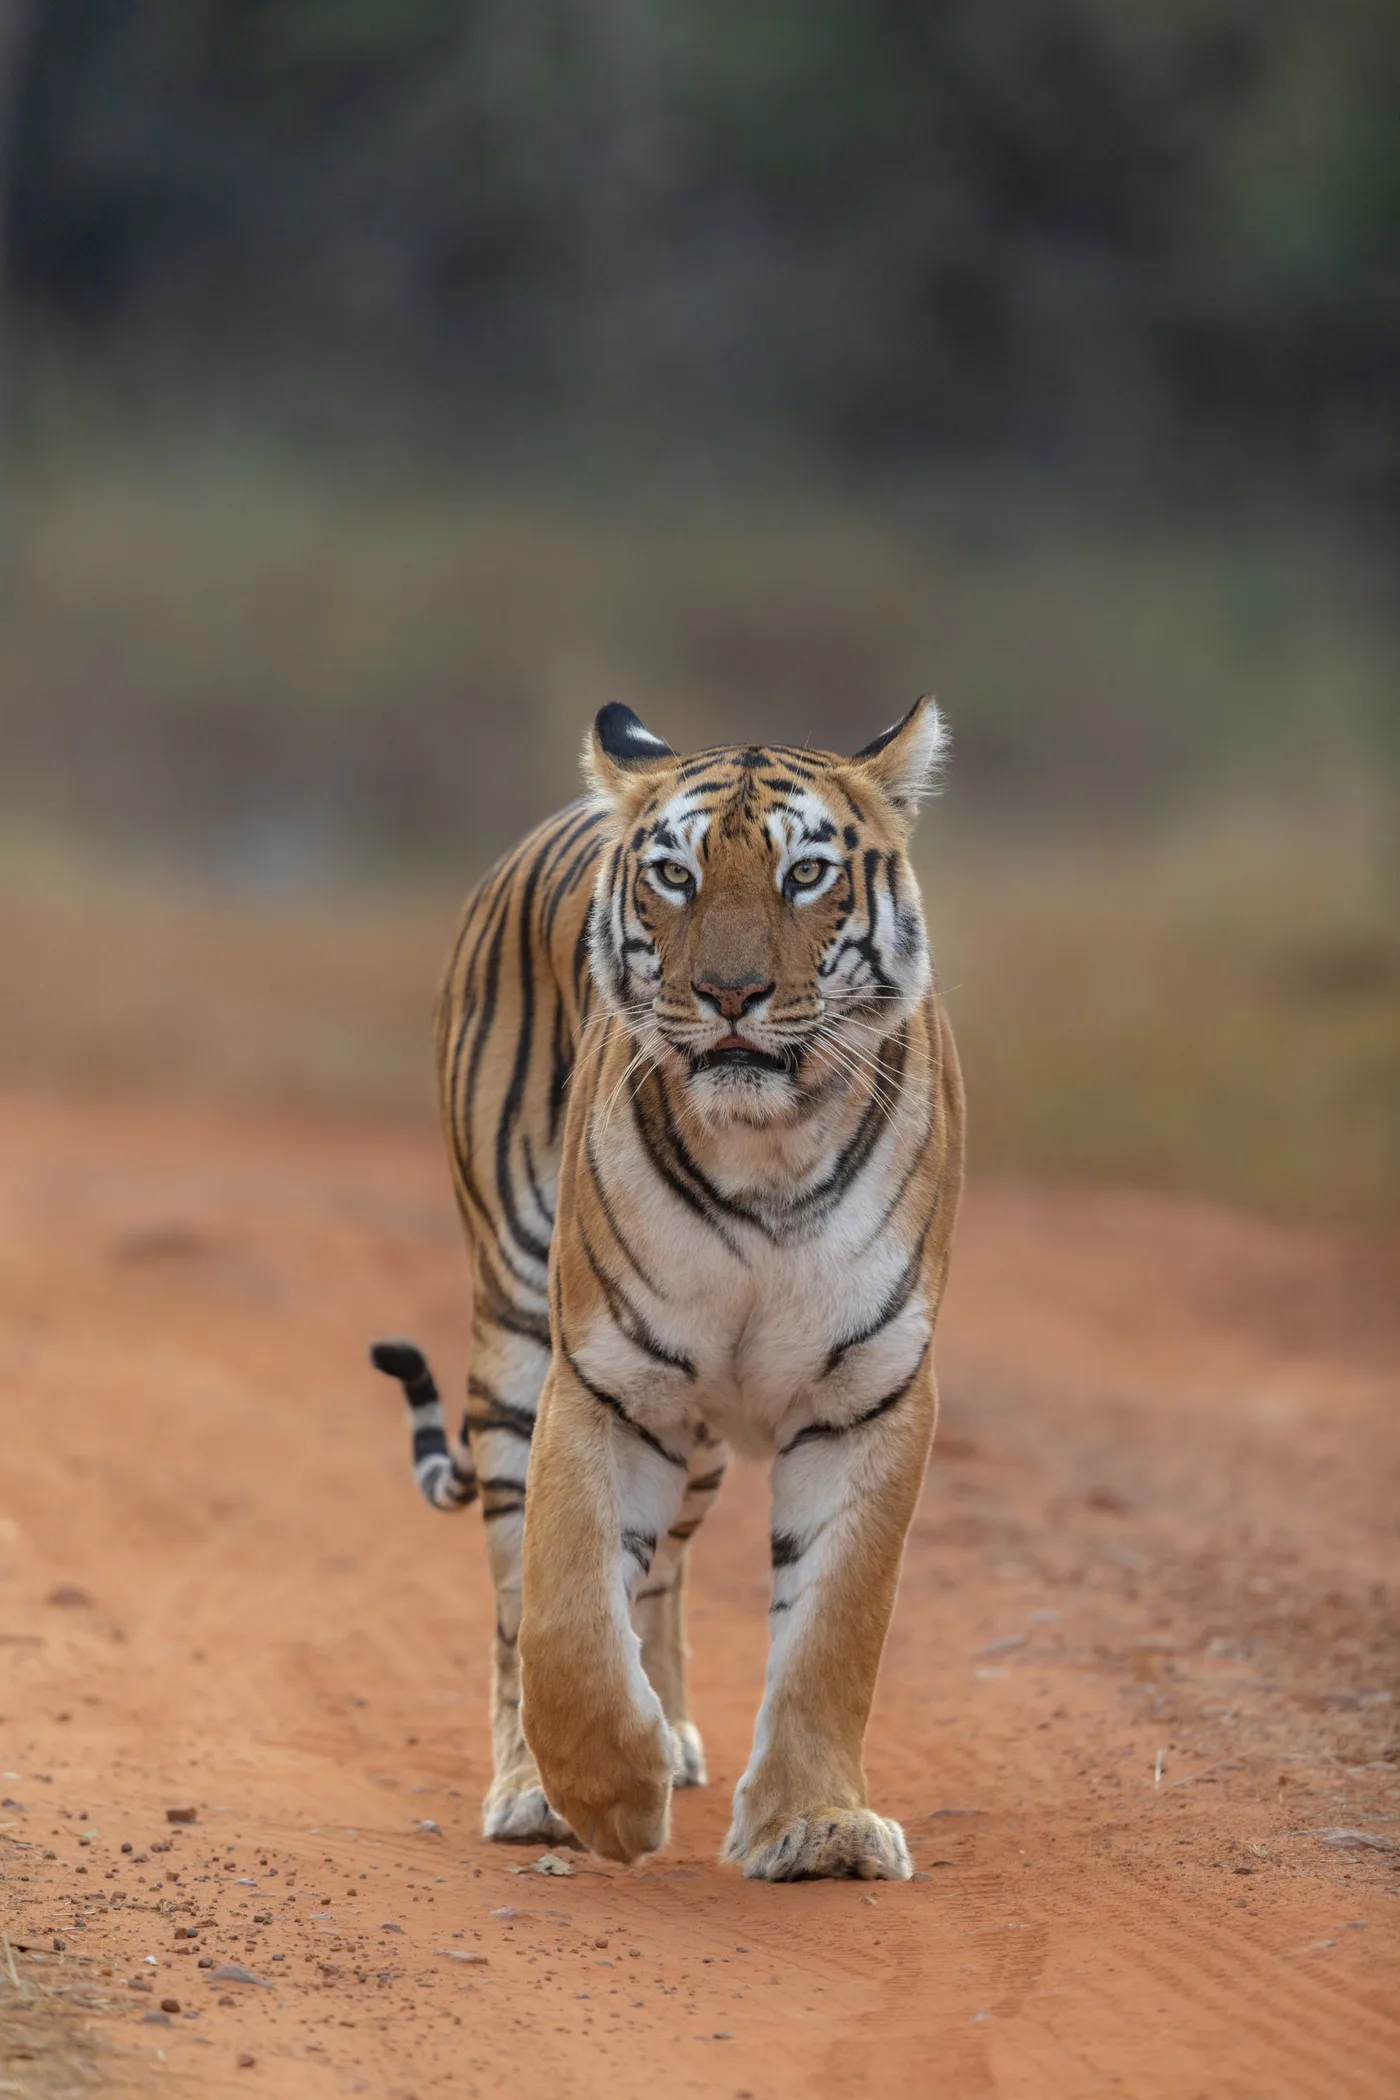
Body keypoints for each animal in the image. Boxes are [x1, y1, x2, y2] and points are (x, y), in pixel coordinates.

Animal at [372, 697, 964, 1881]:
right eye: (676, 878)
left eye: (804, 874)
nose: (730, 995)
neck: (769, 1153)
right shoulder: (604, 1381)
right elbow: (562, 1612)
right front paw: (603, 1797)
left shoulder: (868, 1393)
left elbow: (836, 1627)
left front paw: (816, 1826)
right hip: (515, 1332)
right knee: (519, 1593)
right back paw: (533, 1788)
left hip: (696, 1443)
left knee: (662, 1577)